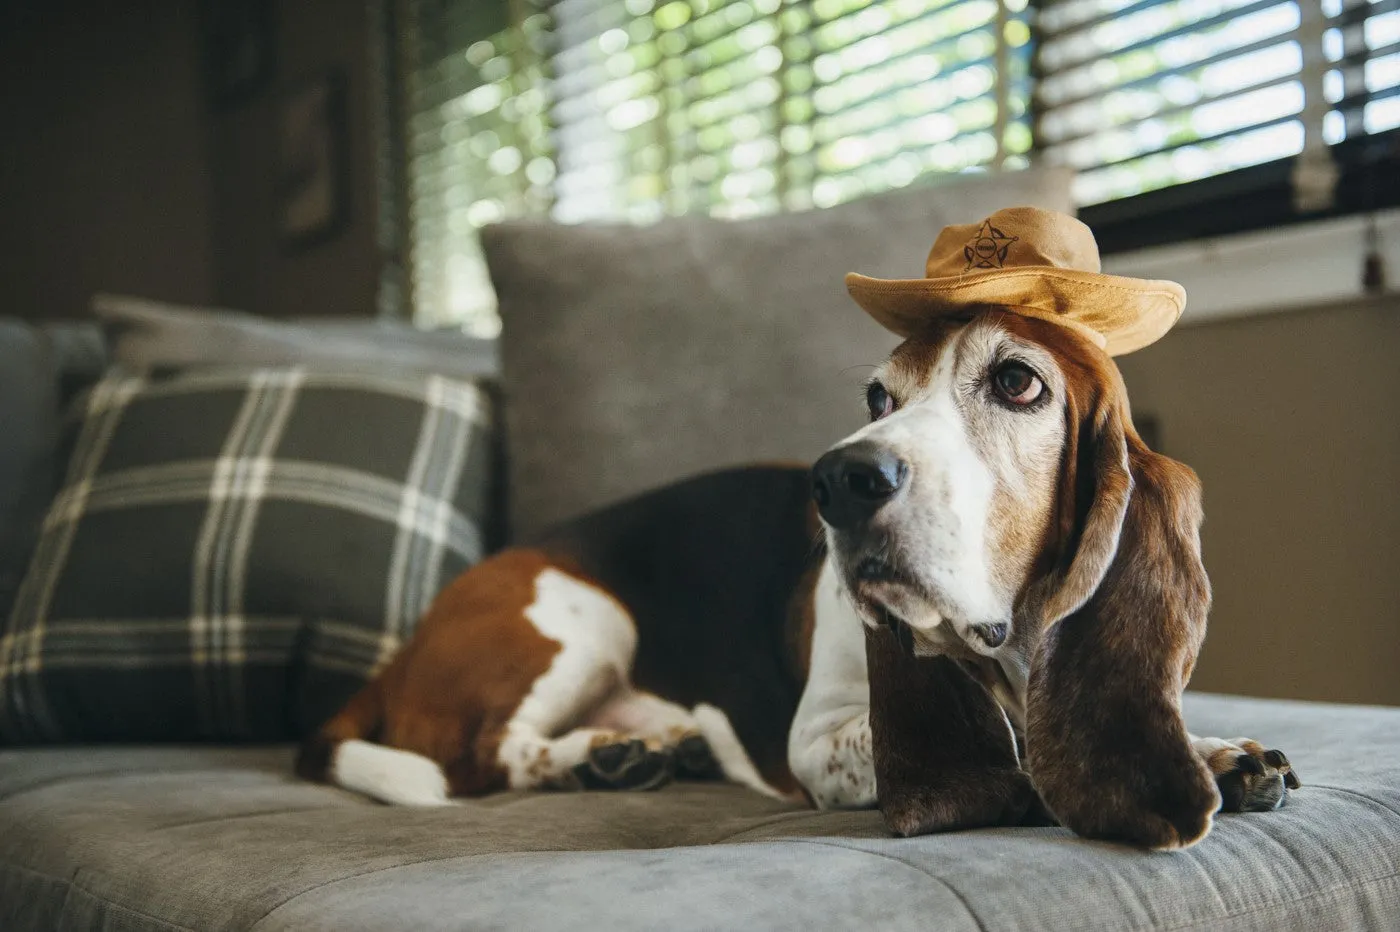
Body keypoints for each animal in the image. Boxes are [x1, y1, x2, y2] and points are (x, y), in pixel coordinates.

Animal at [298, 209, 1299, 850]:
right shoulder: (819, 740)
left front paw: (1216, 753)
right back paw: (597, 759)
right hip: (581, 618)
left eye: (1019, 381)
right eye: (877, 397)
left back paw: (646, 750)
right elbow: (996, 745)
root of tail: (401, 649)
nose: (839, 483)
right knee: (479, 758)